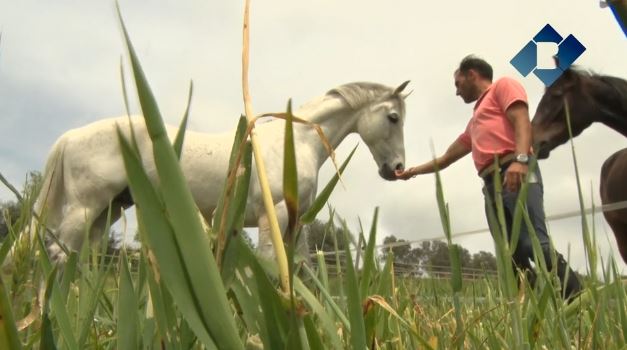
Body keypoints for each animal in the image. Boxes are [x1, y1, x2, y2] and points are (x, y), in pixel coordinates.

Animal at [31, 81, 412, 260]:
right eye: (393, 117)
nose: (396, 168)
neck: (295, 142)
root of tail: (70, 137)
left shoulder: (297, 223)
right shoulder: (273, 218)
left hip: (107, 212)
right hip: (85, 209)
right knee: (55, 255)